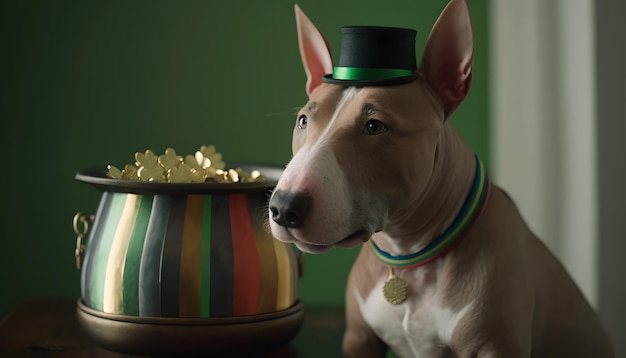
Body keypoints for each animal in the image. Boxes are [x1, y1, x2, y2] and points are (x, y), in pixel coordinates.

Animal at [266, 1, 612, 356]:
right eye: (303, 120)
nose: (285, 207)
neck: (410, 260)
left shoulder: (495, 346)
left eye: (374, 126)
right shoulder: (359, 337)